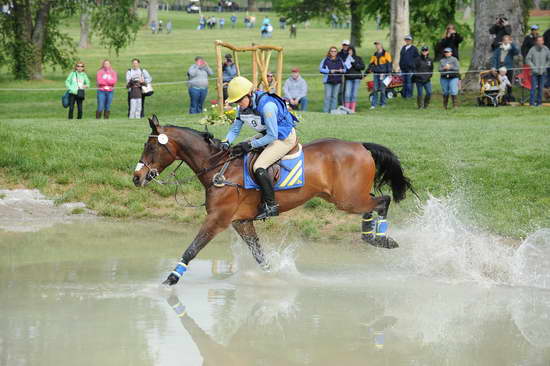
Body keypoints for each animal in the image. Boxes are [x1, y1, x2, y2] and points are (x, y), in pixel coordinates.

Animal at [136, 115, 416, 286]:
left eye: (150, 148)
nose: (136, 177)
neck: (219, 168)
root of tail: (360, 145)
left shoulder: (217, 220)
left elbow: (192, 249)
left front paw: (169, 281)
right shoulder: (241, 222)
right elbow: (260, 255)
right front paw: (272, 276)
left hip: (347, 200)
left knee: (383, 200)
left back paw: (381, 238)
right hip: (349, 196)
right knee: (375, 203)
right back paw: (373, 236)